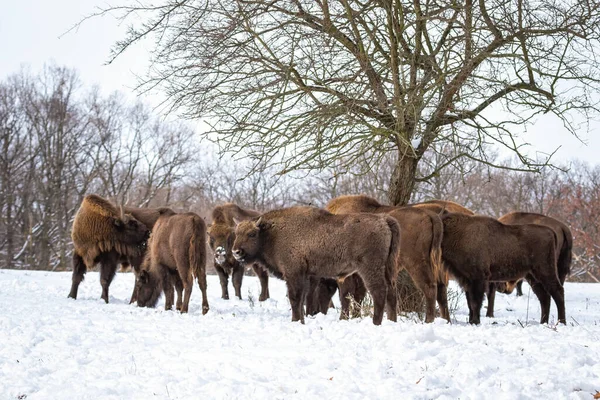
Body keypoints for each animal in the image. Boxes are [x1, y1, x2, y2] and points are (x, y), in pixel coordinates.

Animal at [232, 206, 400, 324]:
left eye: (252, 234)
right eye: (236, 233)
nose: (236, 252)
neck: (272, 234)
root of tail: (383, 220)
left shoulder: (293, 273)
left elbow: (295, 298)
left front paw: (295, 320)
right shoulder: (305, 275)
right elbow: (302, 300)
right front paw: (301, 320)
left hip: (369, 267)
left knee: (379, 291)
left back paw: (376, 322)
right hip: (387, 267)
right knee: (391, 291)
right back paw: (392, 321)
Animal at [326, 195, 448, 324]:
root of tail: (431, 215)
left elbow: (346, 294)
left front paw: (343, 318)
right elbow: (358, 295)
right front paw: (355, 317)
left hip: (416, 263)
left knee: (429, 287)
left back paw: (428, 321)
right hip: (436, 264)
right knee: (441, 290)